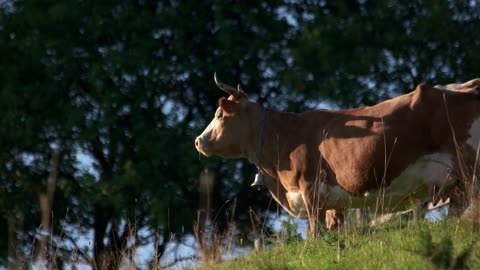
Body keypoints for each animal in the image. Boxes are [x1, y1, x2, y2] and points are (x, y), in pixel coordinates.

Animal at [195, 75, 480, 235]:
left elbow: (315, 233)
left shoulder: (310, 189)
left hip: (468, 165)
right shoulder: (334, 202)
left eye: (219, 115)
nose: (198, 141)